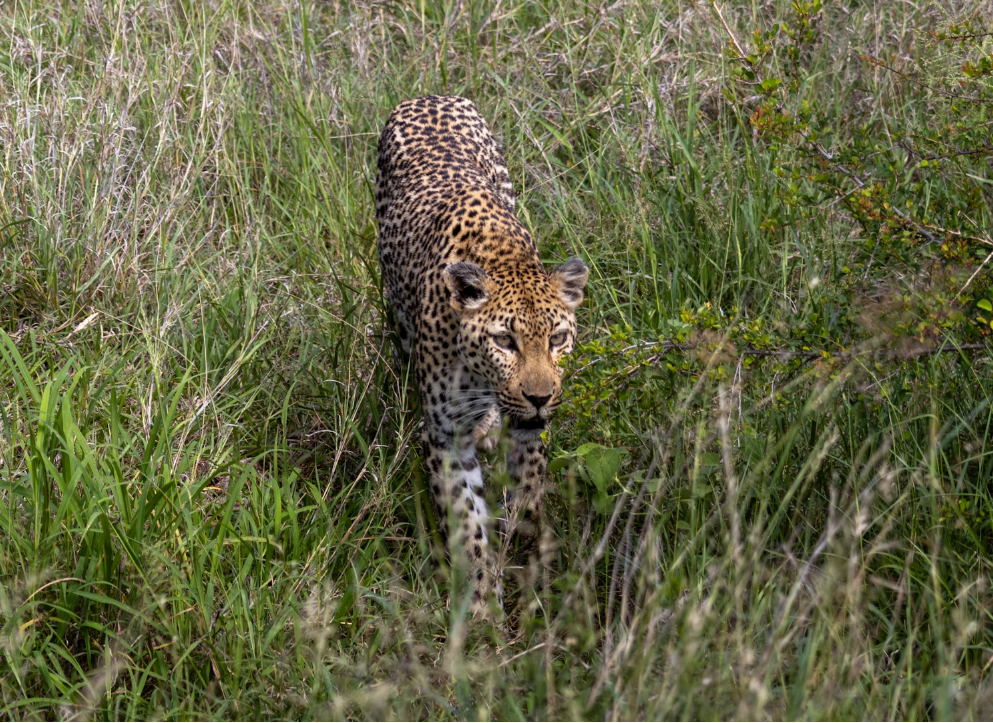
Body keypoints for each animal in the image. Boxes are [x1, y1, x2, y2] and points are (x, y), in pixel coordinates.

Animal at [375, 95, 588, 615]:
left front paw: (526, 559)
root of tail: (427, 94)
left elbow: (528, 492)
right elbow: (466, 524)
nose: (539, 397)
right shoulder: (444, 436)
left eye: (557, 339)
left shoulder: (528, 433)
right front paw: (481, 609)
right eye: (504, 341)